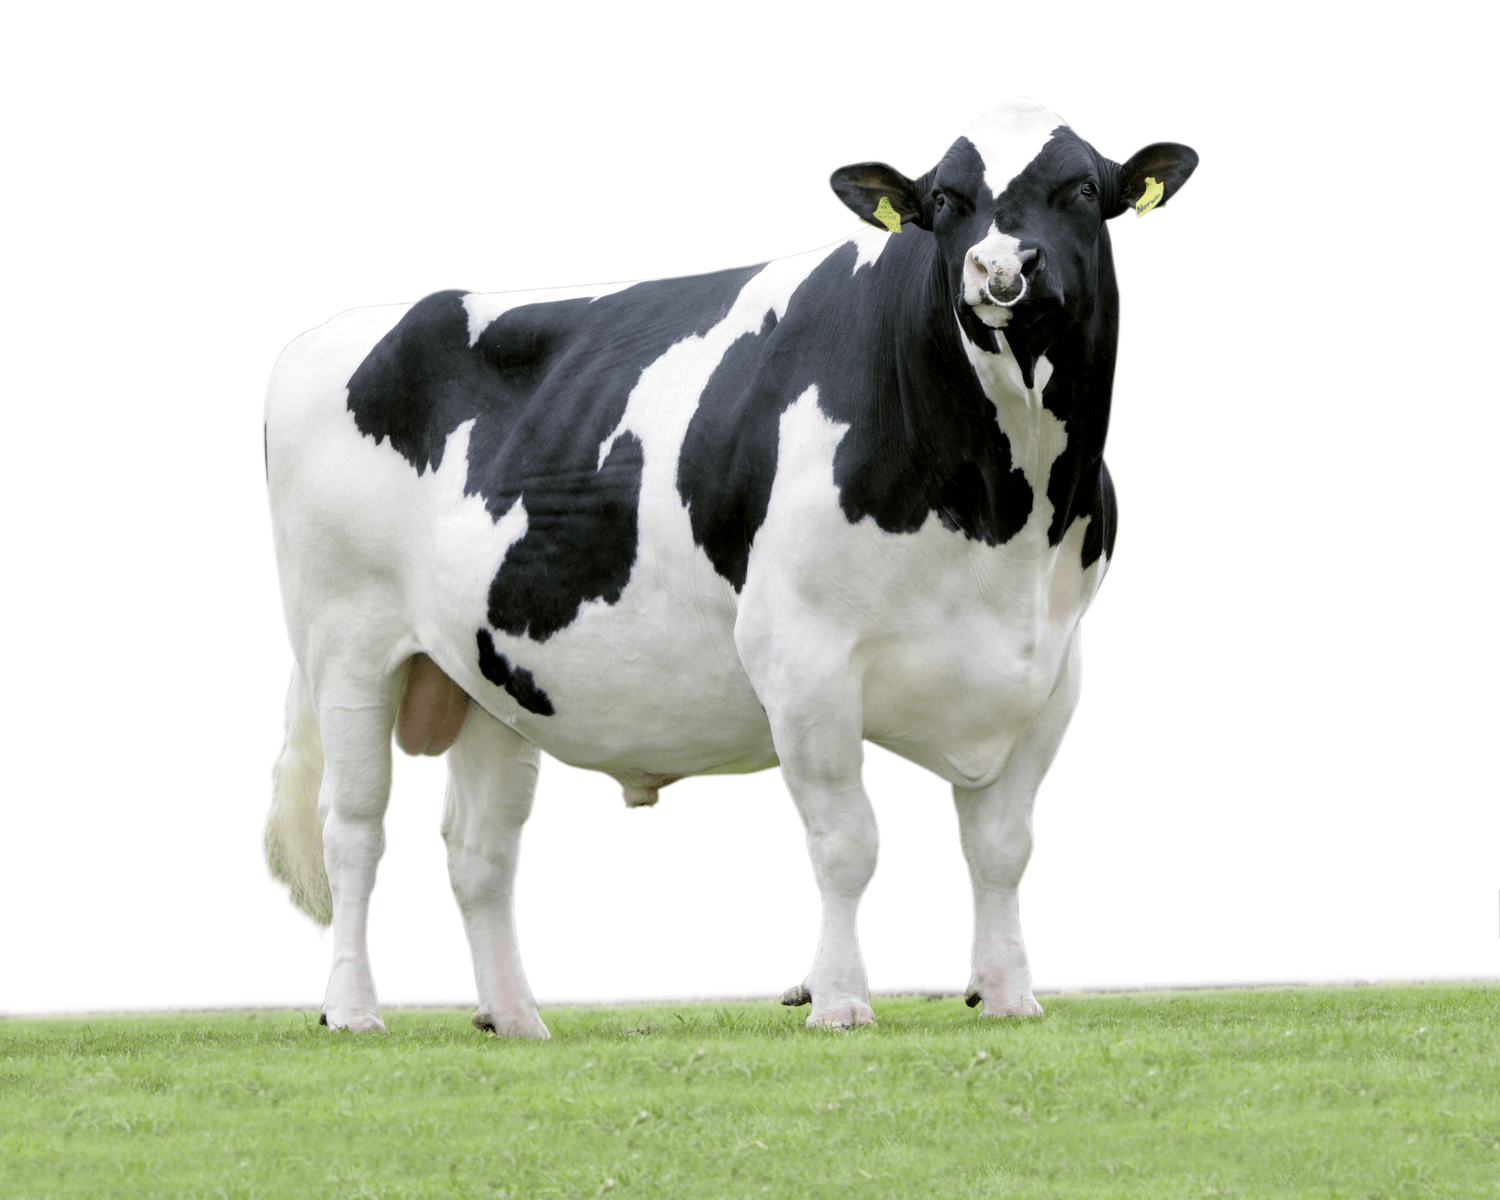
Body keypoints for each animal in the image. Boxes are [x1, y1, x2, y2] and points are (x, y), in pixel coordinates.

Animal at [263, 99, 1197, 1035]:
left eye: (1082, 189)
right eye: (944, 199)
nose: (1000, 267)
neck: (1005, 518)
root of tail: (328, 334)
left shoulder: (1050, 666)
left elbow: (1001, 846)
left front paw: (1006, 995)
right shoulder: (802, 653)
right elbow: (847, 842)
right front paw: (841, 1001)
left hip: (486, 670)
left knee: (480, 848)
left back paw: (517, 1018)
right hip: (347, 642)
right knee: (353, 829)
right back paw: (352, 1008)